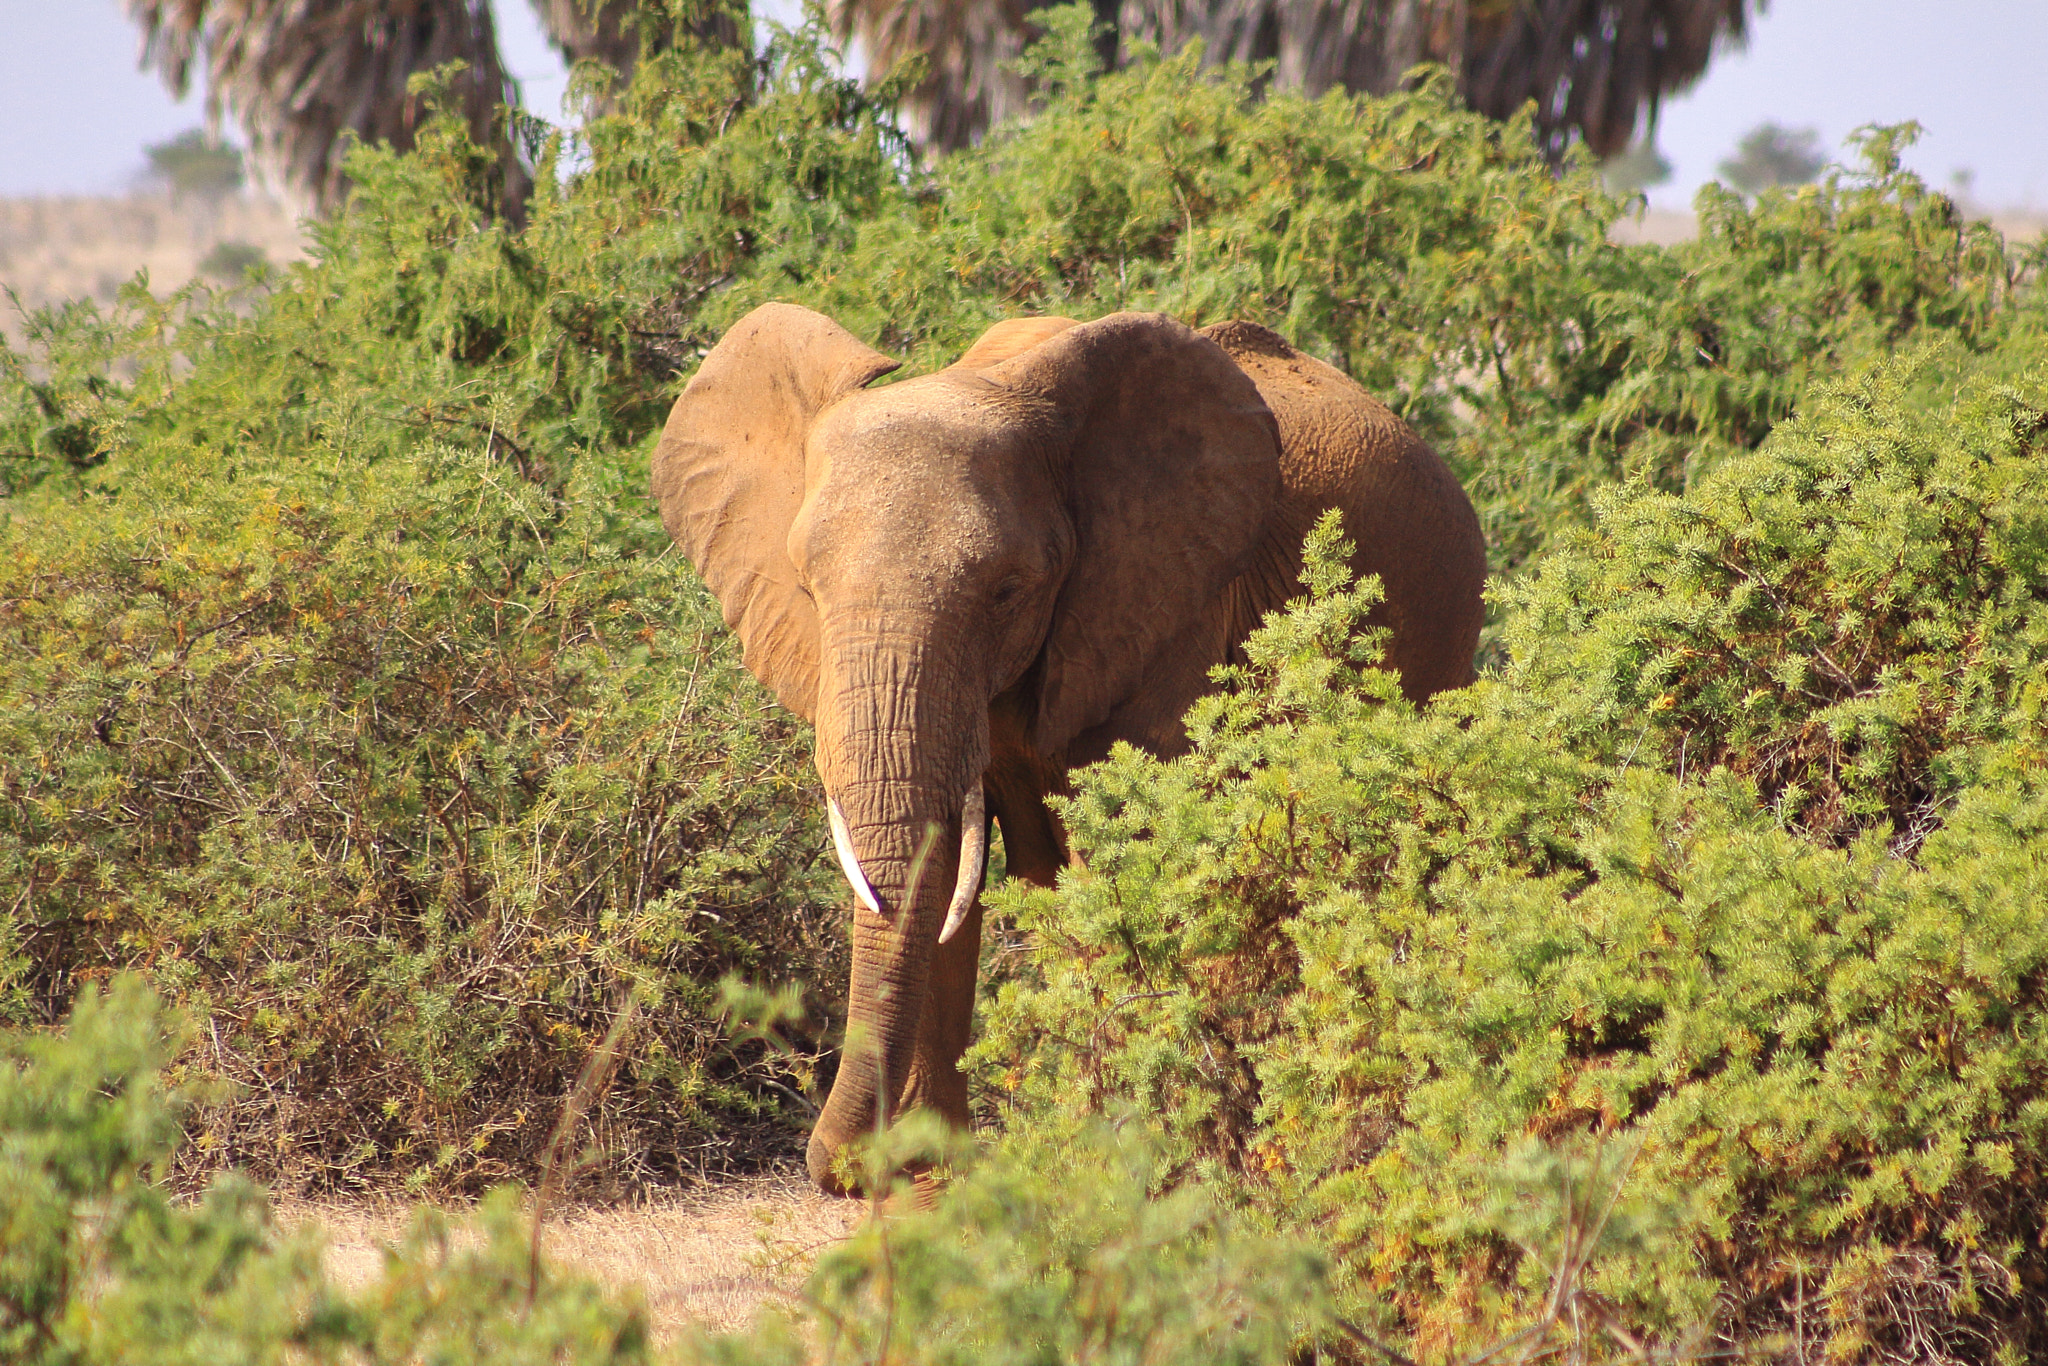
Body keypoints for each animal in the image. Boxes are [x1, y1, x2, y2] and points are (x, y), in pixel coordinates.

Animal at [655, 305, 1490, 1187]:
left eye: (1007, 591)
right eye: (808, 591)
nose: (838, 1170)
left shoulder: (1175, 608)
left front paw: (1114, 1169)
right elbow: (947, 873)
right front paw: (930, 1187)